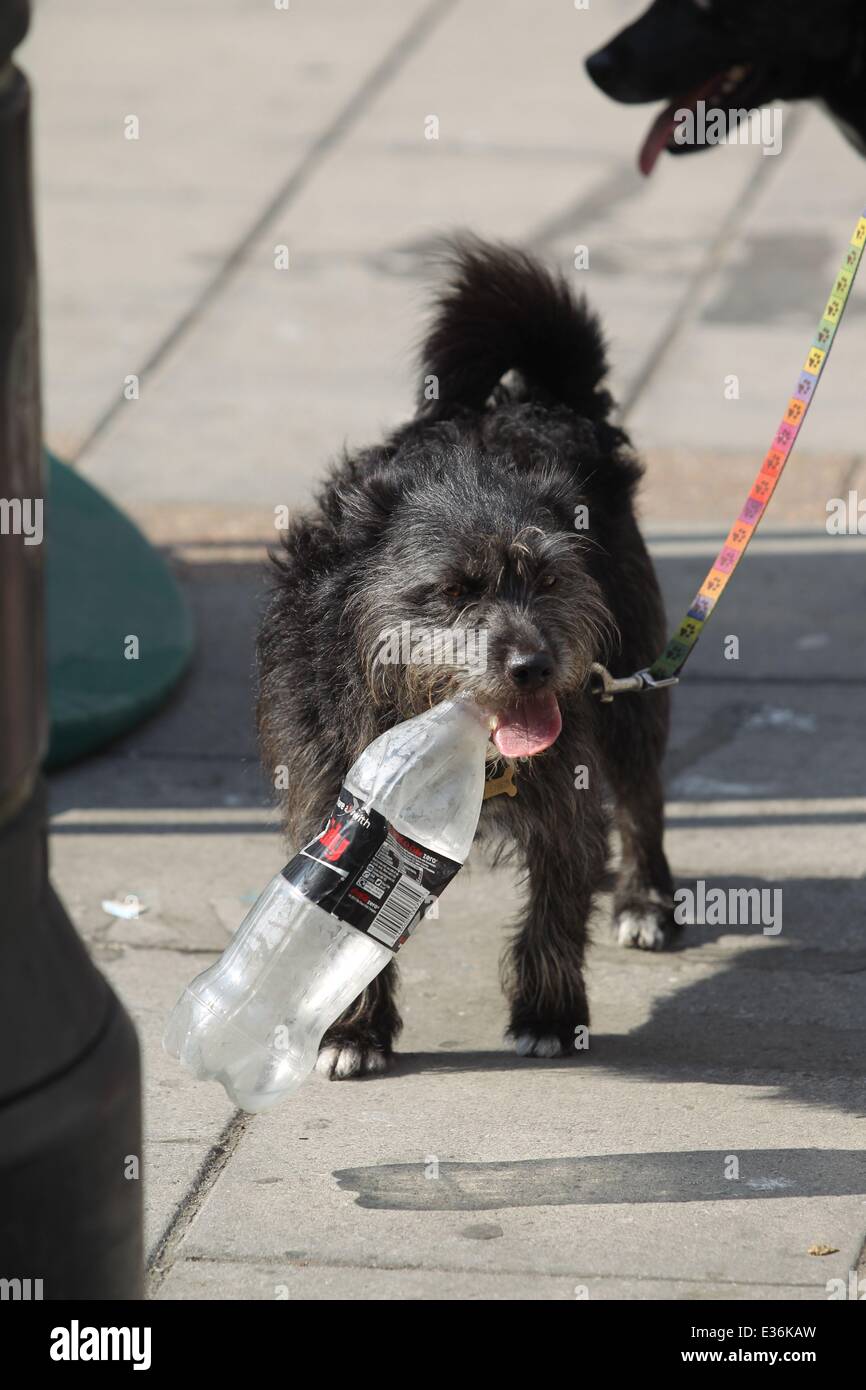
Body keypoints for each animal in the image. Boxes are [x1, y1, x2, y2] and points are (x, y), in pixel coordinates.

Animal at [257, 241, 678, 1073]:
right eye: (453, 590)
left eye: (548, 579)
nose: (534, 668)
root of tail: (538, 400)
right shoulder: (331, 795)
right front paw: (354, 1030)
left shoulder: (564, 786)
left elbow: (556, 901)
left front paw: (550, 1014)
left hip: (633, 685)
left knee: (641, 796)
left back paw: (643, 898)